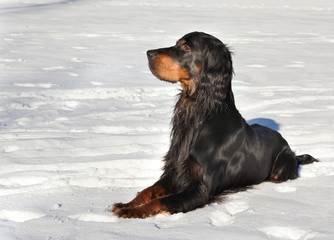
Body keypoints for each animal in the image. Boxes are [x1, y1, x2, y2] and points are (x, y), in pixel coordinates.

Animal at [110, 31, 318, 218]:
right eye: (177, 43)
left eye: (186, 47)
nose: (148, 53)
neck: (199, 114)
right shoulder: (174, 171)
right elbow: (148, 190)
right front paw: (126, 204)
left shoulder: (201, 189)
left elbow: (162, 200)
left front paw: (133, 212)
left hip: (281, 167)